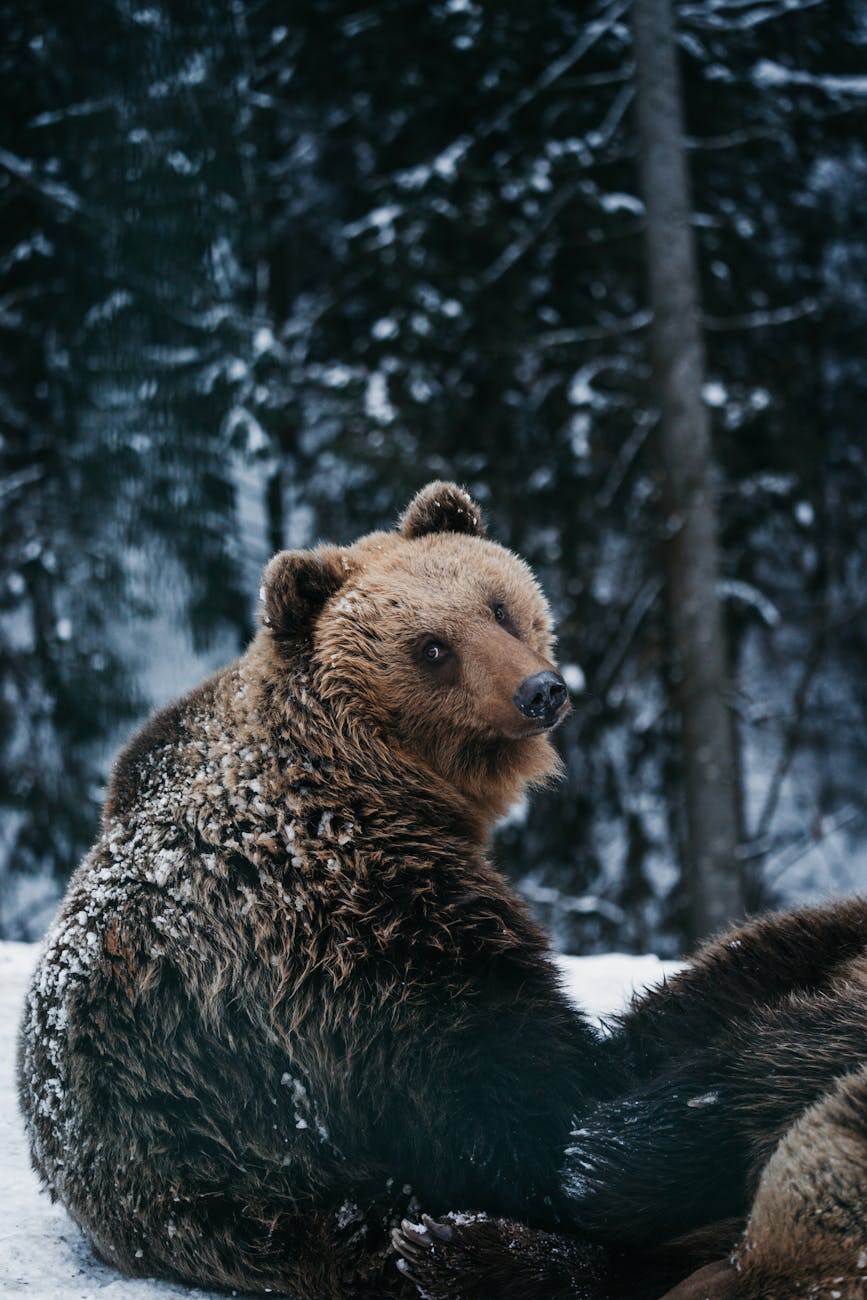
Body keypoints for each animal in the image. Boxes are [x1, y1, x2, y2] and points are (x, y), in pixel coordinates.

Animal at [18, 481, 627, 1300]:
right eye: (431, 648)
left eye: (498, 606)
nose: (540, 691)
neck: (366, 769)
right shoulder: (345, 906)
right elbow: (487, 1058)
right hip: (227, 1160)